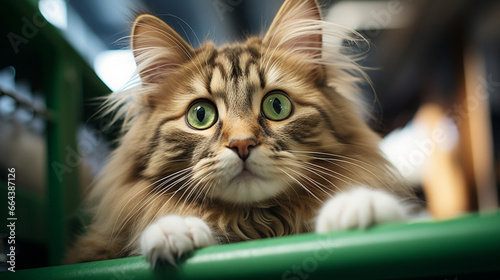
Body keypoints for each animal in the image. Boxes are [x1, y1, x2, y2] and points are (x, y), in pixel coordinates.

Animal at [67, 0, 418, 266]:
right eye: (200, 115)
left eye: (277, 106)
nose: (242, 144)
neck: (258, 226)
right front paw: (174, 229)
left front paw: (359, 206)